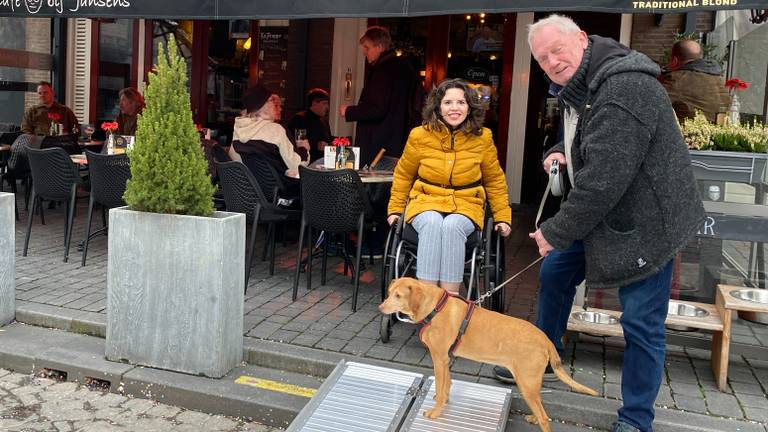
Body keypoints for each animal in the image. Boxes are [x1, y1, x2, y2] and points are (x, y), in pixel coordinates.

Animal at [380, 278, 596, 430]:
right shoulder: (445, 359)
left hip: (526, 382)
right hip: (530, 383)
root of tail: (546, 339)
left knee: (545, 418)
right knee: (540, 408)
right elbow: (446, 385)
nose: (380, 308)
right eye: (389, 293)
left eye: (398, 296)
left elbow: (441, 389)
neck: (435, 307)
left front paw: (436, 412)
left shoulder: (439, 359)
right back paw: (533, 417)